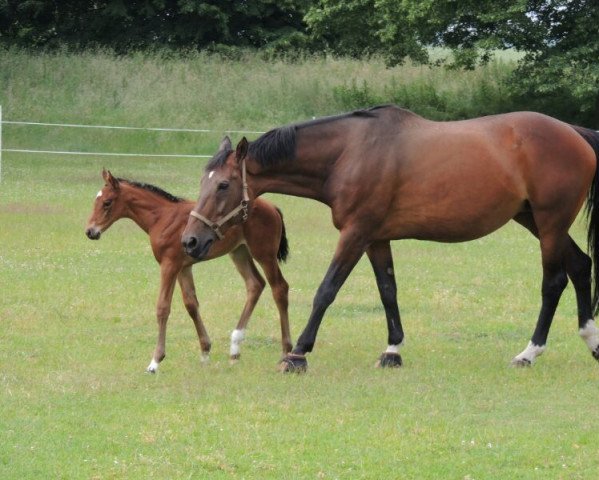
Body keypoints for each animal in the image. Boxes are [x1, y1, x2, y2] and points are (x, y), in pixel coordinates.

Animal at [84, 154, 290, 372]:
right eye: (96, 201)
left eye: (107, 202)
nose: (90, 231)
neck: (161, 217)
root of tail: (273, 207)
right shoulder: (183, 267)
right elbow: (191, 304)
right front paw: (205, 352)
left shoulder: (169, 265)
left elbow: (163, 307)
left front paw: (155, 361)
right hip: (239, 252)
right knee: (255, 284)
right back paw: (235, 348)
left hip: (264, 254)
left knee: (279, 288)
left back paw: (285, 351)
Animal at [180, 105, 599, 374]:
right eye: (203, 181)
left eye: (223, 185)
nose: (191, 241)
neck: (350, 153)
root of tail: (575, 133)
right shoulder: (376, 238)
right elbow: (387, 290)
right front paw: (392, 350)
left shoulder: (356, 233)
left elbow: (326, 290)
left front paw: (297, 354)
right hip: (534, 220)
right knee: (581, 265)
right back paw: (591, 341)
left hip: (550, 223)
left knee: (554, 281)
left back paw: (529, 353)